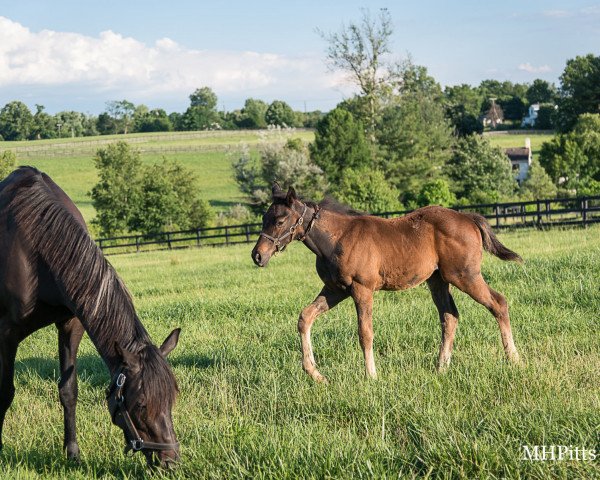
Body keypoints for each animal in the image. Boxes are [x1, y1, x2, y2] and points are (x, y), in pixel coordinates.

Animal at [1, 166, 182, 468]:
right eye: (141, 405)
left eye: (171, 399)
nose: (170, 460)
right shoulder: (7, 334)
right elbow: (5, 393)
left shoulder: (71, 324)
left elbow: (68, 390)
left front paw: (72, 452)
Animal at [250, 185, 520, 382]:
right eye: (264, 218)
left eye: (281, 220)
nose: (258, 255)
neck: (337, 239)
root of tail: (468, 217)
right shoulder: (335, 290)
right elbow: (305, 317)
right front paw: (316, 374)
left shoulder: (362, 289)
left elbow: (365, 333)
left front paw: (371, 376)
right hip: (438, 280)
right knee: (449, 316)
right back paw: (441, 368)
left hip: (465, 275)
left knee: (499, 303)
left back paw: (514, 360)